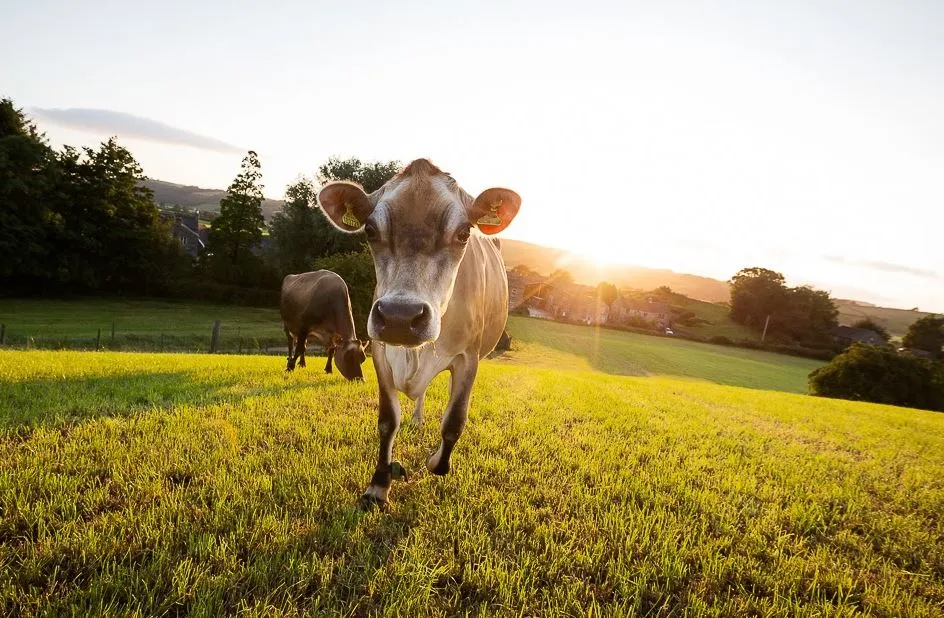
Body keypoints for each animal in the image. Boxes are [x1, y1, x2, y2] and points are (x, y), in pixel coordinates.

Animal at [318, 158, 521, 508]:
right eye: (370, 230)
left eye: (463, 233)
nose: (400, 317)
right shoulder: (380, 351)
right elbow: (387, 421)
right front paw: (379, 484)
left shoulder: (469, 358)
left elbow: (454, 422)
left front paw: (432, 460)